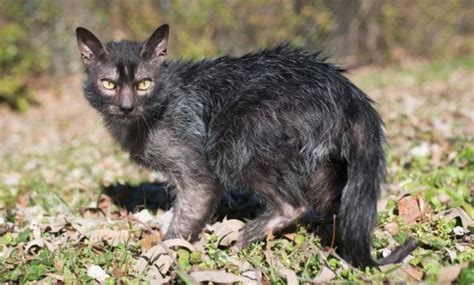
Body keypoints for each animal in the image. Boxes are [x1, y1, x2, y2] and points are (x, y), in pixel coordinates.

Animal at [75, 22, 414, 266]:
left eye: (144, 84)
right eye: (108, 84)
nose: (126, 106)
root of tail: (346, 90)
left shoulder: (198, 175)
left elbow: (184, 219)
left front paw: (160, 255)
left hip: (234, 140)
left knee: (294, 204)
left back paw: (247, 236)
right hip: (322, 164)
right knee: (332, 205)